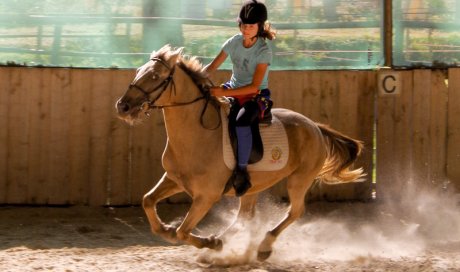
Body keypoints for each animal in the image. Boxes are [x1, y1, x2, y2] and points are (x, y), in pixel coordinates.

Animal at [116, 44, 366, 262]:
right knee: (245, 217)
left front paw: (207, 241)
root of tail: (315, 126)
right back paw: (223, 242)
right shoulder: (174, 179)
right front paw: (168, 229)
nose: (123, 106)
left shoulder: (206, 195)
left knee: (295, 211)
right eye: (138, 71)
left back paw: (261, 246)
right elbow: (148, 201)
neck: (198, 136)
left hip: (299, 179)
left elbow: (183, 231)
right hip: (252, 187)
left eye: (155, 77)